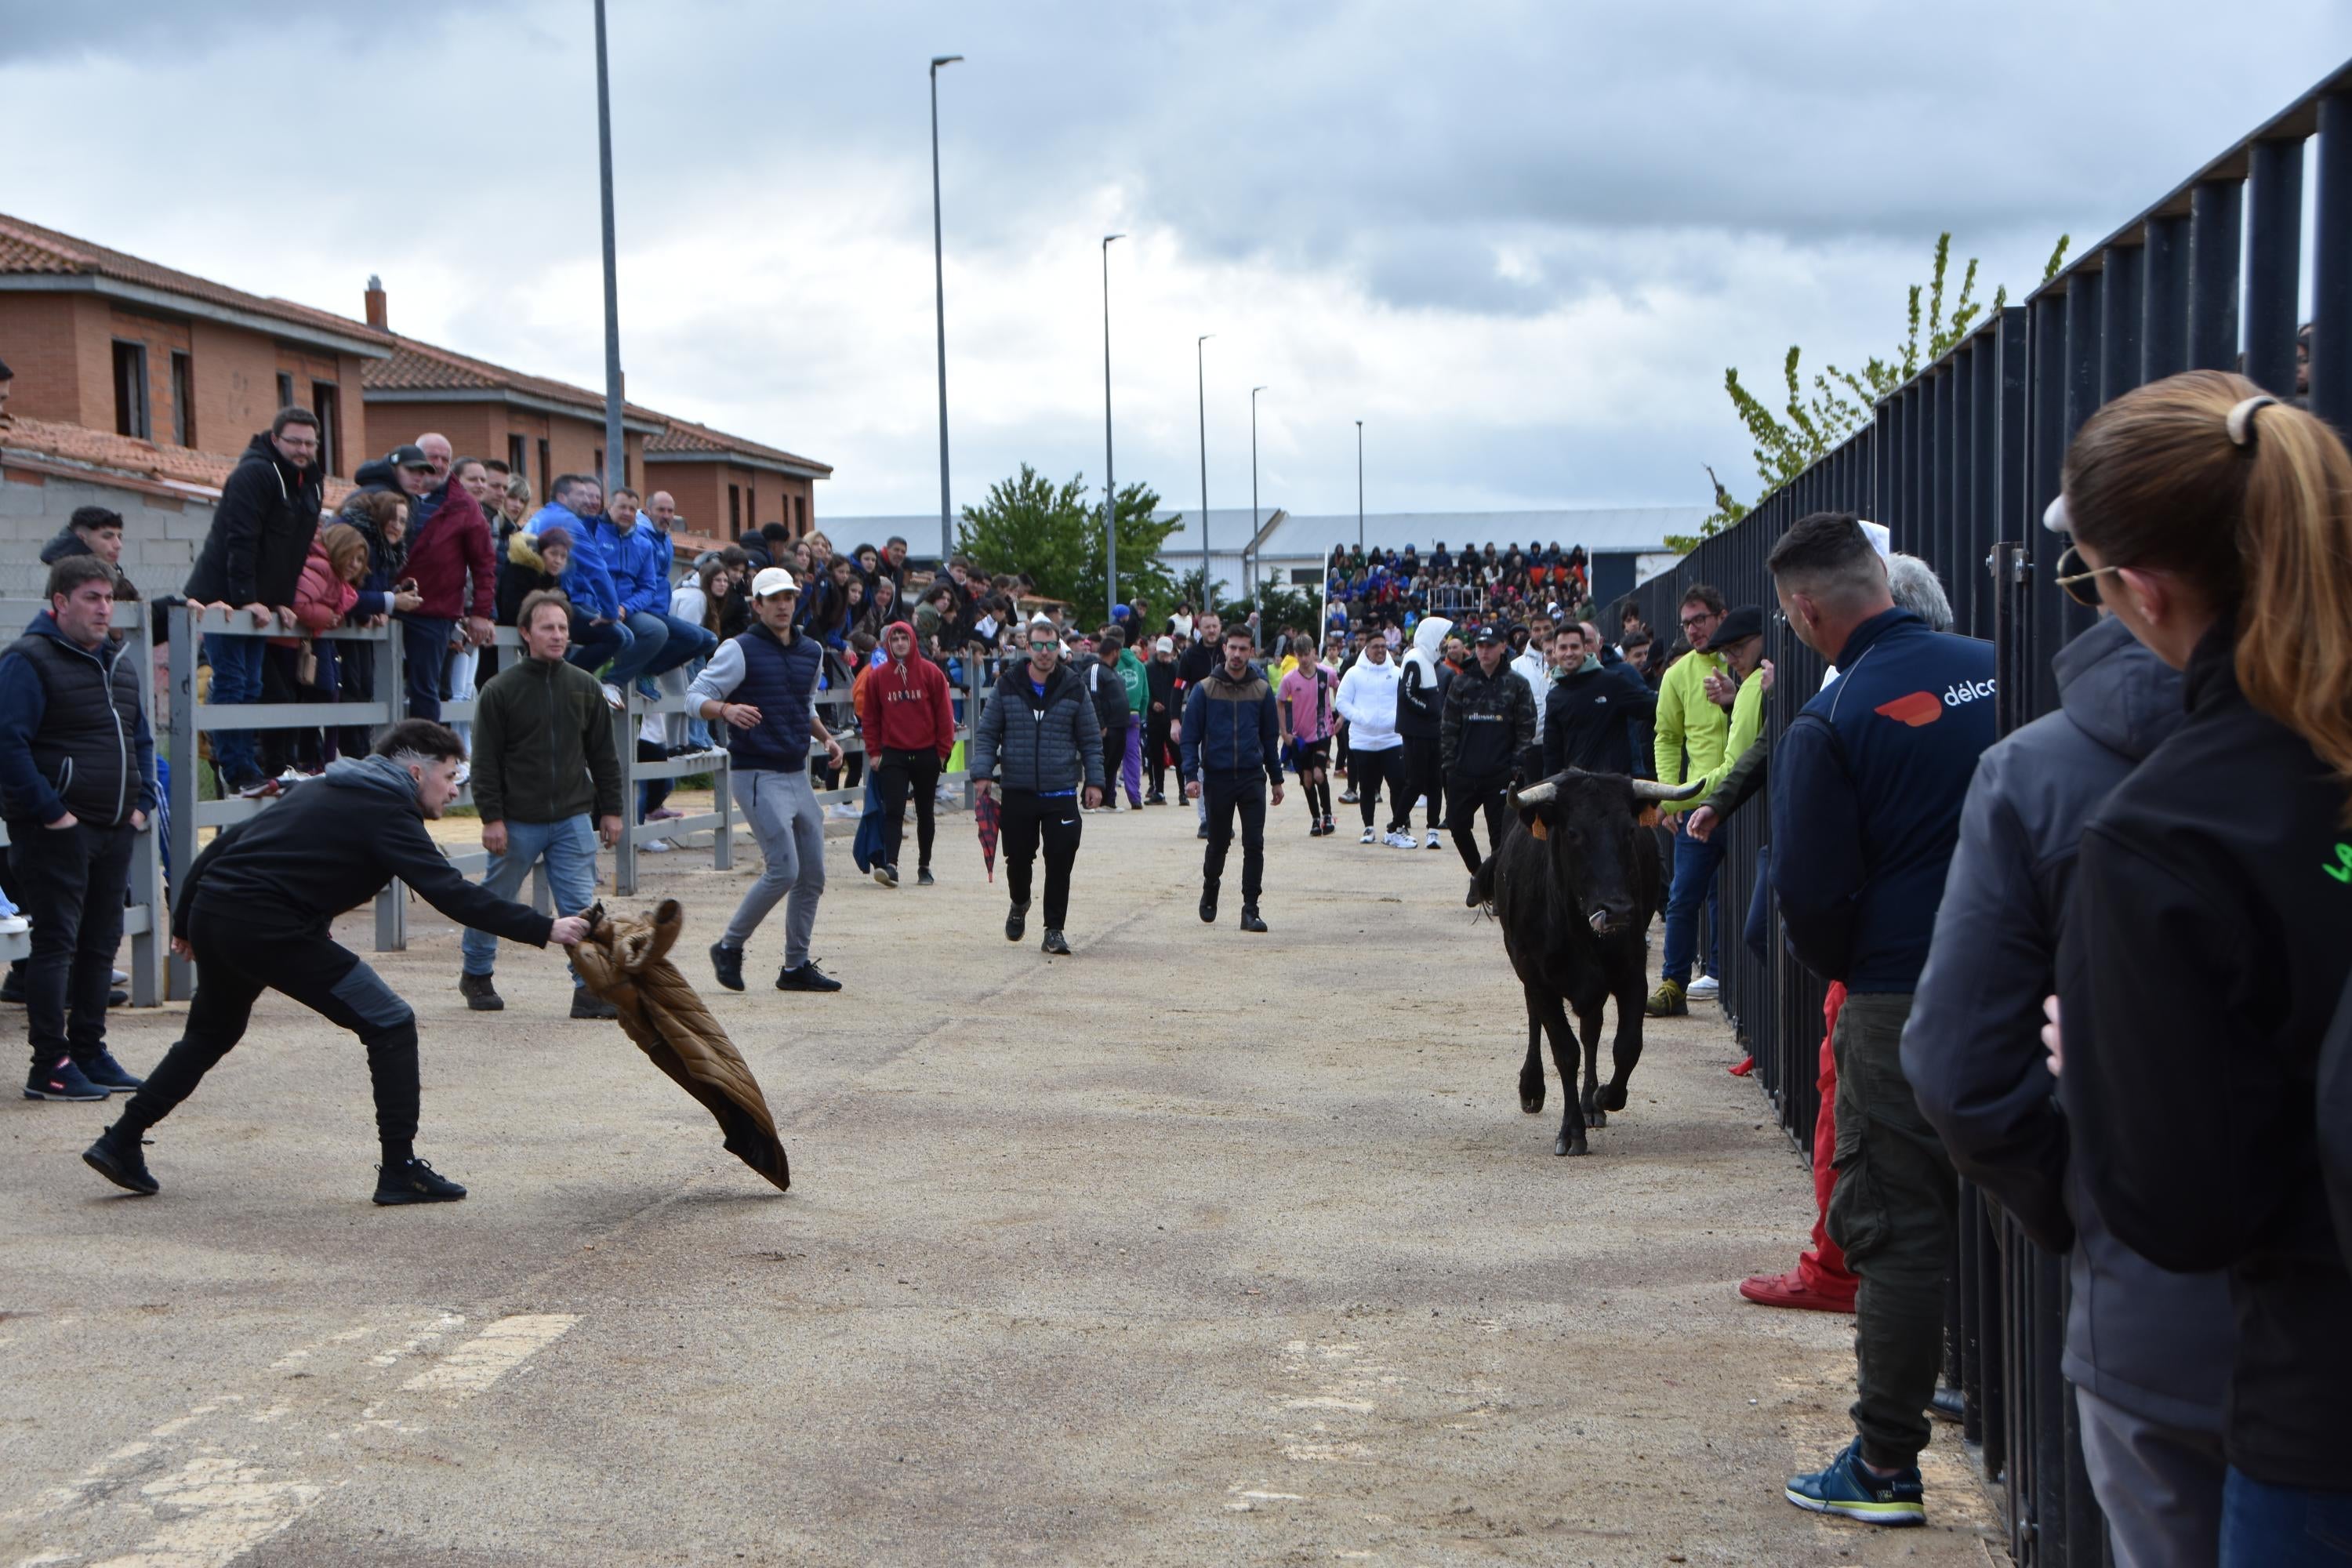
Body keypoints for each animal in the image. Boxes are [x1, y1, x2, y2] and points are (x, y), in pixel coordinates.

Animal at [1477, 771, 1703, 1152]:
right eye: (1573, 833)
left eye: (1629, 831)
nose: (1618, 911)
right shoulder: (1536, 976)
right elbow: (1565, 1051)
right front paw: (1571, 1132)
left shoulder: (1632, 974)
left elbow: (1626, 1046)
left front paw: (1602, 1098)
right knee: (1537, 1020)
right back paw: (1532, 1087)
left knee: (1592, 1032)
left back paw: (1590, 1104)